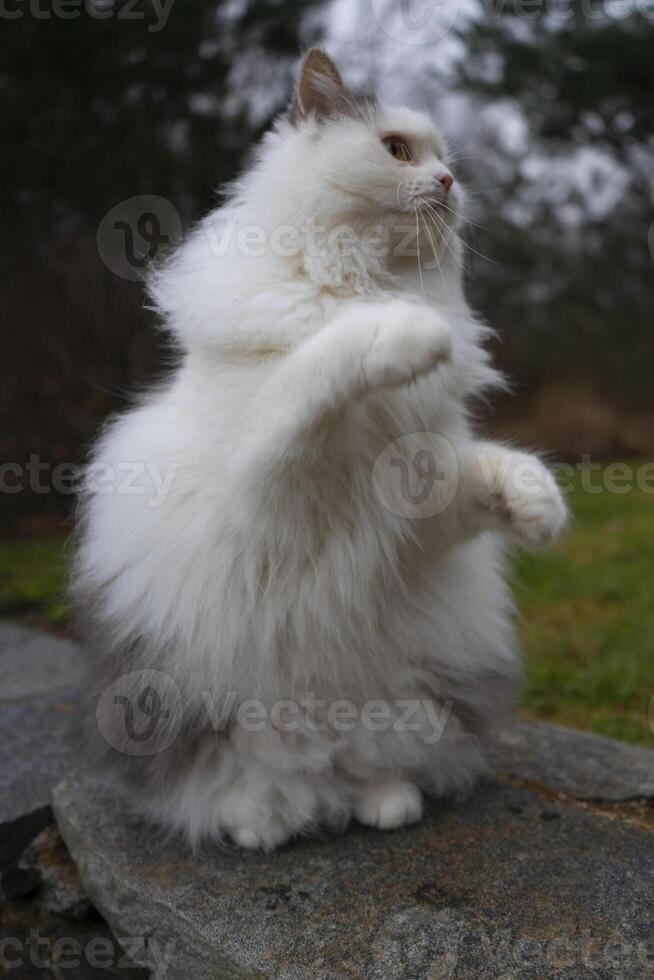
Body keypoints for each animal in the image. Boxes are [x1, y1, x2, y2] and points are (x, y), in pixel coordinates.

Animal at [74, 51, 568, 848]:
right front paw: (410, 333)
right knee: (247, 792)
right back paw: (264, 827)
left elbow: (497, 468)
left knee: (367, 772)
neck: (363, 276)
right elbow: (319, 366)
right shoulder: (269, 487)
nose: (450, 182)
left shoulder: (419, 506)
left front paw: (539, 511)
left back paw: (384, 804)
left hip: (403, 712)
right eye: (397, 150)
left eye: (446, 160)